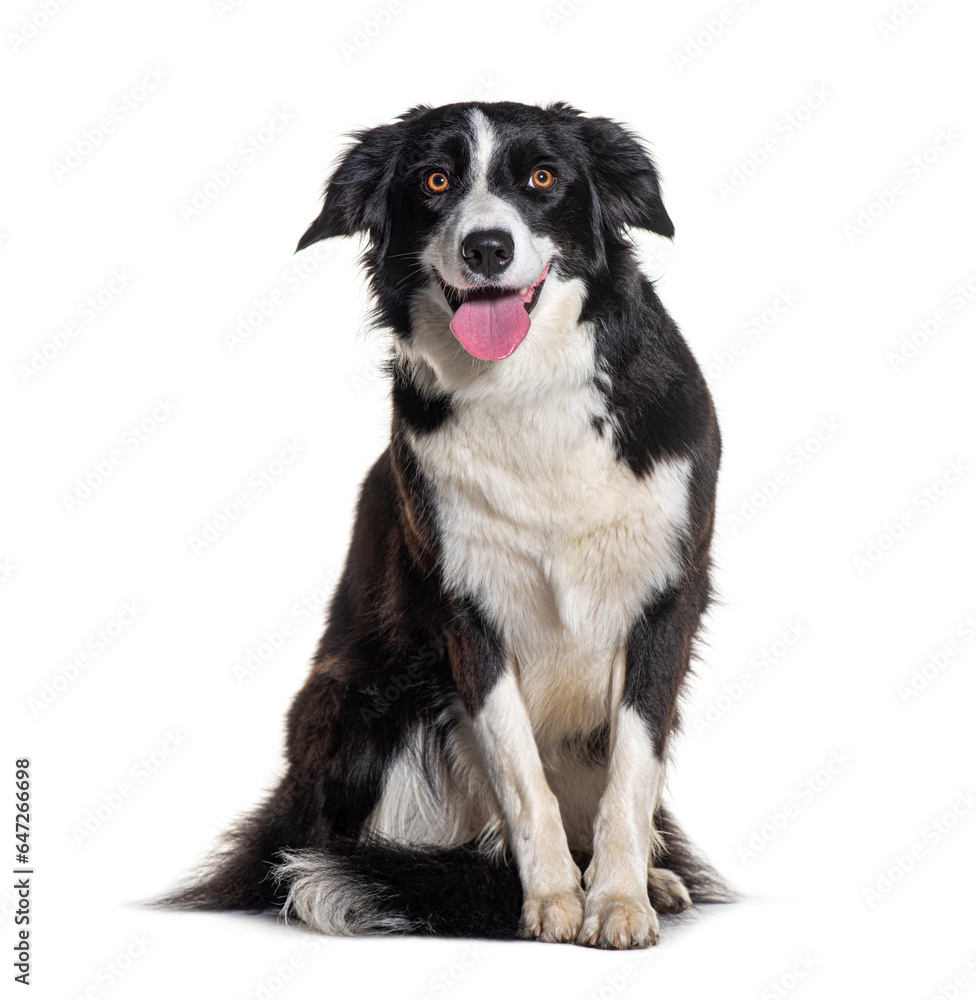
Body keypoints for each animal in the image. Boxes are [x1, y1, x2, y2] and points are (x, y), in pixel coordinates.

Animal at [166, 103, 732, 952]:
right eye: (434, 181)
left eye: (542, 178)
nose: (486, 248)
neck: (524, 386)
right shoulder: (465, 611)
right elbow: (520, 774)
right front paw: (553, 897)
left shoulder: (669, 597)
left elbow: (633, 772)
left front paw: (618, 898)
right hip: (369, 694)